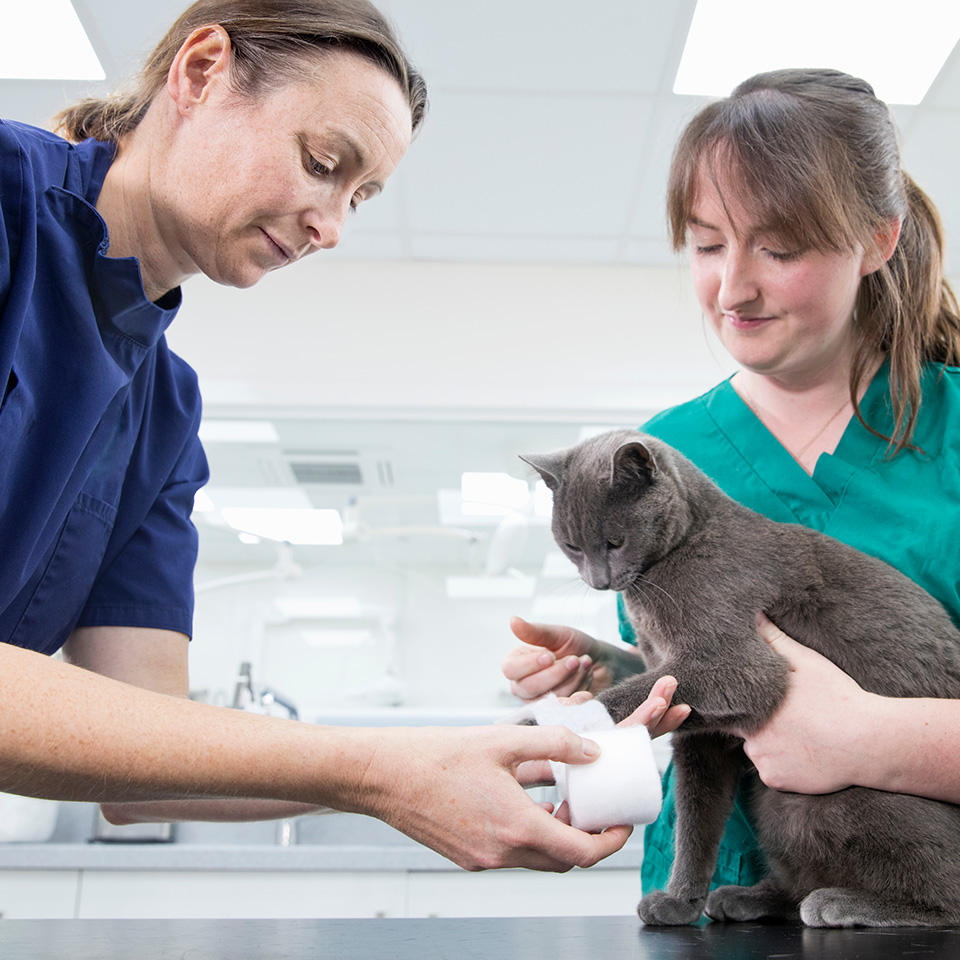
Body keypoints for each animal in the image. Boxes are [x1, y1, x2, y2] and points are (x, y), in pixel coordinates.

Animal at [520, 430, 960, 928]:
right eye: (572, 546)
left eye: (615, 541)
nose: (598, 581)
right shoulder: (701, 732)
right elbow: (697, 820)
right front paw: (680, 901)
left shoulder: (738, 665)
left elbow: (636, 695)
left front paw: (537, 725)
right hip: (776, 809)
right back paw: (748, 897)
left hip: (839, 795)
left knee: (948, 896)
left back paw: (839, 903)